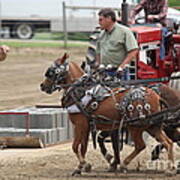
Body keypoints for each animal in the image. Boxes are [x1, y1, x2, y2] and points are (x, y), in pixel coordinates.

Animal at [40, 53, 176, 176]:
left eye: (51, 71)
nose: (42, 85)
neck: (80, 92)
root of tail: (157, 96)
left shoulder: (80, 125)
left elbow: (74, 146)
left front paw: (85, 165)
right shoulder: (86, 126)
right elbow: (83, 147)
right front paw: (81, 167)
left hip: (135, 126)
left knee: (140, 145)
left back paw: (124, 164)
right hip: (152, 126)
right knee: (168, 142)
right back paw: (171, 168)